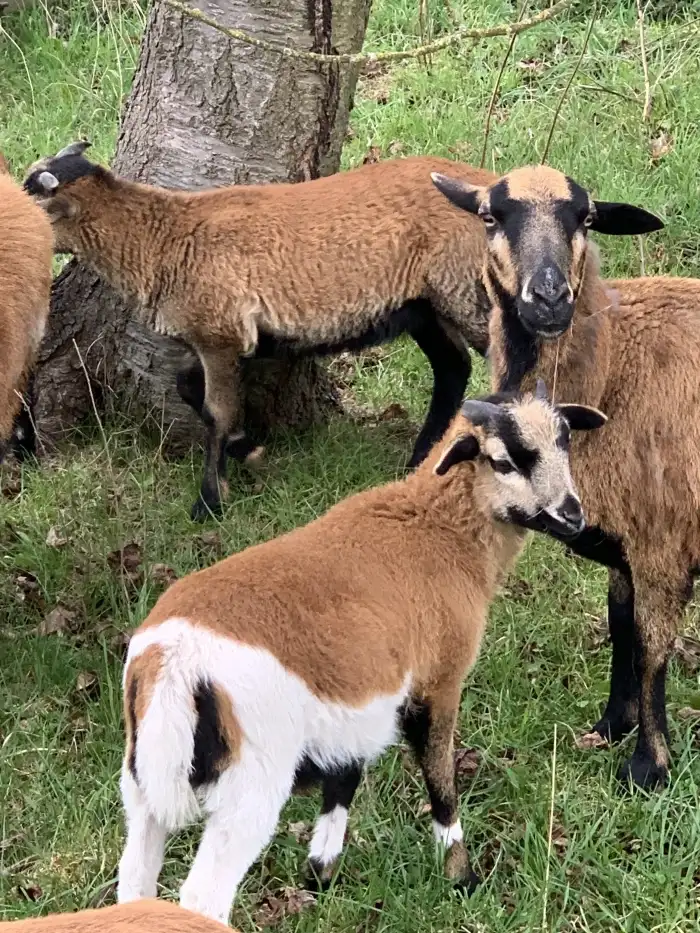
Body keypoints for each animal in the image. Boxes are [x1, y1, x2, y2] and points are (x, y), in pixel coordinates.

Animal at [23, 141, 496, 521]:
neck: (162, 238)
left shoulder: (219, 335)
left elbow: (215, 410)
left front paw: (209, 504)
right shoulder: (219, 338)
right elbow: (188, 388)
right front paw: (246, 448)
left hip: (469, 292)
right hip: (426, 306)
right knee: (452, 368)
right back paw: (419, 461)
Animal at [115, 382, 606, 923]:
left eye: (565, 440)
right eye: (502, 461)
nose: (573, 516)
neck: (437, 530)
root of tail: (176, 662)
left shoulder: (358, 705)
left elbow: (343, 780)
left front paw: (321, 874)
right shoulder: (439, 680)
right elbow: (440, 780)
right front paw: (461, 876)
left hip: (142, 782)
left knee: (134, 881)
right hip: (250, 786)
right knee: (203, 896)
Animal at [430, 165, 700, 791]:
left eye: (588, 217)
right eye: (490, 216)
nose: (550, 297)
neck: (611, 366)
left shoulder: (662, 539)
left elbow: (653, 648)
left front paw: (648, 767)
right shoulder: (625, 545)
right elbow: (622, 629)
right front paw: (612, 726)